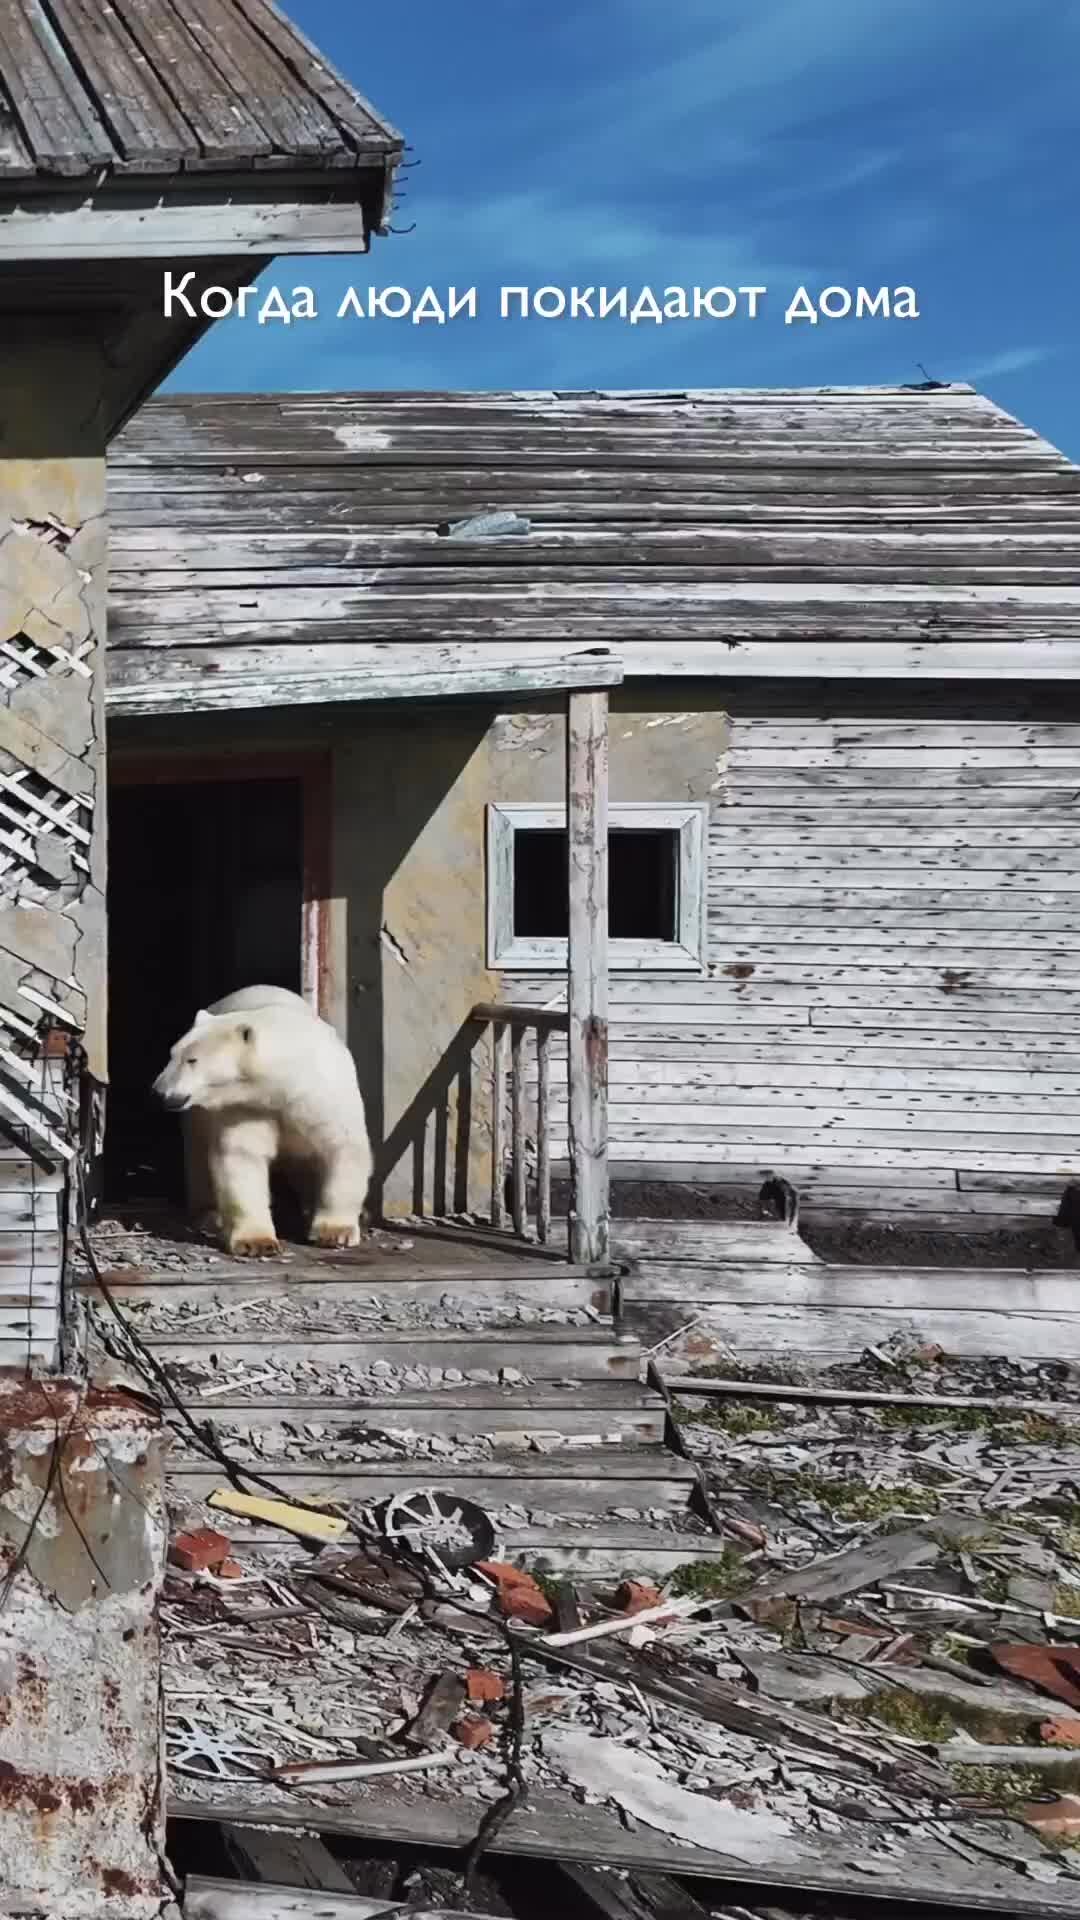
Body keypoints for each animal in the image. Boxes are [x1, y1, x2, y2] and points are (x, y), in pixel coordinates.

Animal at [151, 990, 368, 1259]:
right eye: (172, 1054)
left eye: (191, 1060)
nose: (158, 1090)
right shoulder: (246, 1106)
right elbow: (242, 1157)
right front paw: (256, 1242)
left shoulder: (322, 1093)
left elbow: (342, 1147)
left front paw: (335, 1233)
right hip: (197, 1118)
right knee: (198, 1159)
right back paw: (210, 1216)